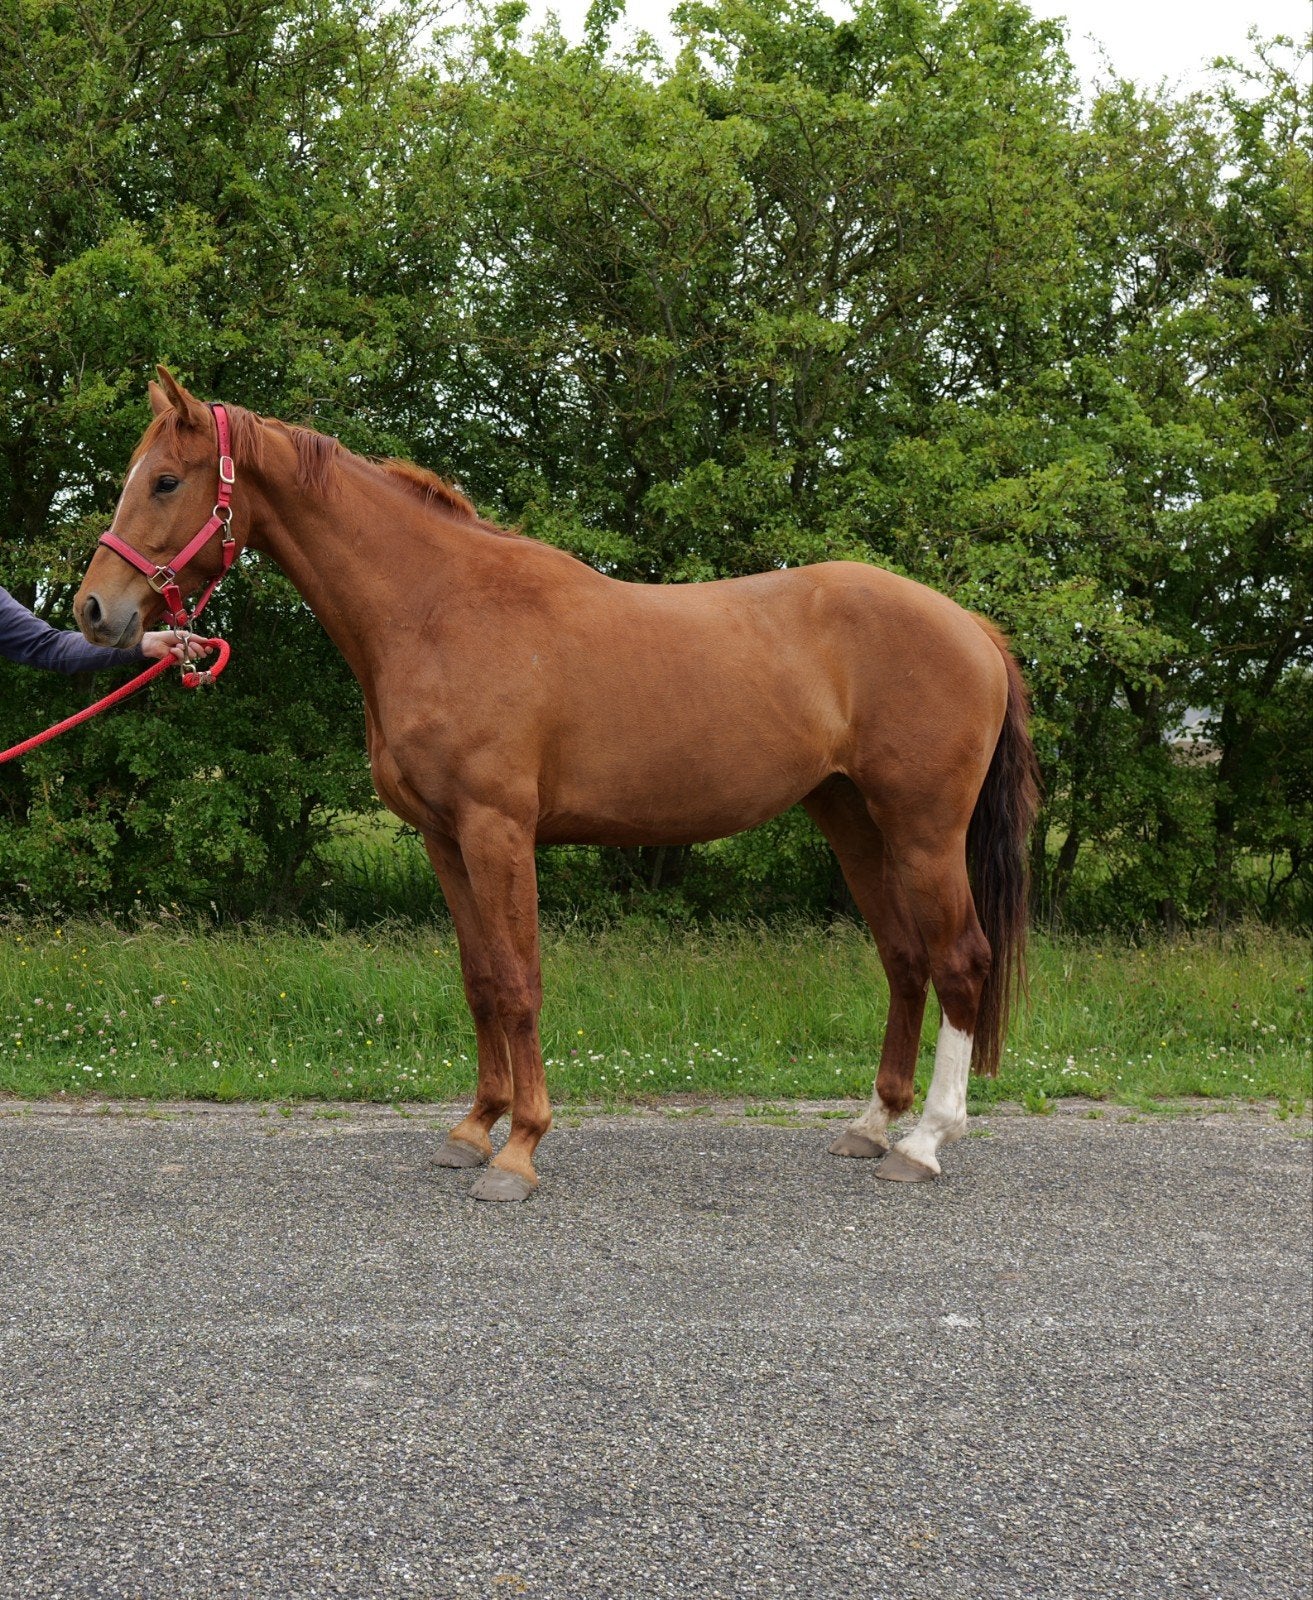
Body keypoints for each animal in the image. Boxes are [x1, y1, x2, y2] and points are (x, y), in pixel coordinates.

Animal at [75, 368, 1040, 1202]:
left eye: (165, 480)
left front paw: (521, 1150)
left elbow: (517, 980)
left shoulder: (498, 831)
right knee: (903, 960)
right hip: (852, 821)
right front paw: (473, 1130)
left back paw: (924, 1141)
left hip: (923, 830)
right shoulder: (443, 839)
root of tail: (971, 627)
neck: (437, 610)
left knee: (959, 960)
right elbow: (478, 980)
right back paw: (872, 1124)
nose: (94, 611)